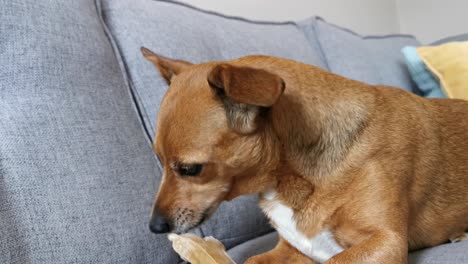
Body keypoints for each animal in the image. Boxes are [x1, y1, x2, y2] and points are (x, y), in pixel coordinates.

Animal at [143, 46, 468, 262]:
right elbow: (251, 259)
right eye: (159, 161)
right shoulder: (289, 248)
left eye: (190, 169)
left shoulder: (385, 241)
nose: (155, 227)